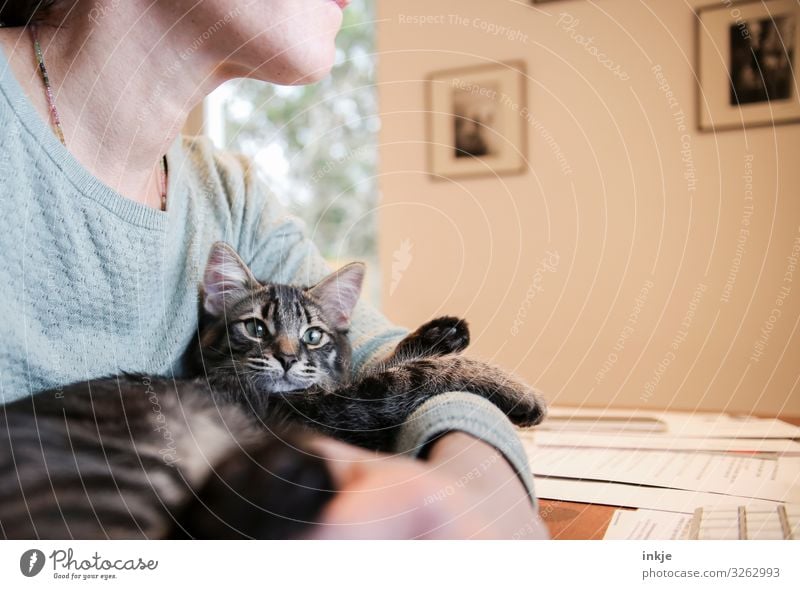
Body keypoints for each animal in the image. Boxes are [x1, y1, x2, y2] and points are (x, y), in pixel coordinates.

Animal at [0, 240, 544, 536]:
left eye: (313, 335)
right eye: (256, 328)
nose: (286, 357)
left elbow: (384, 363)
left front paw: (442, 333)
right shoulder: (330, 411)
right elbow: (410, 376)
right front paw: (516, 390)